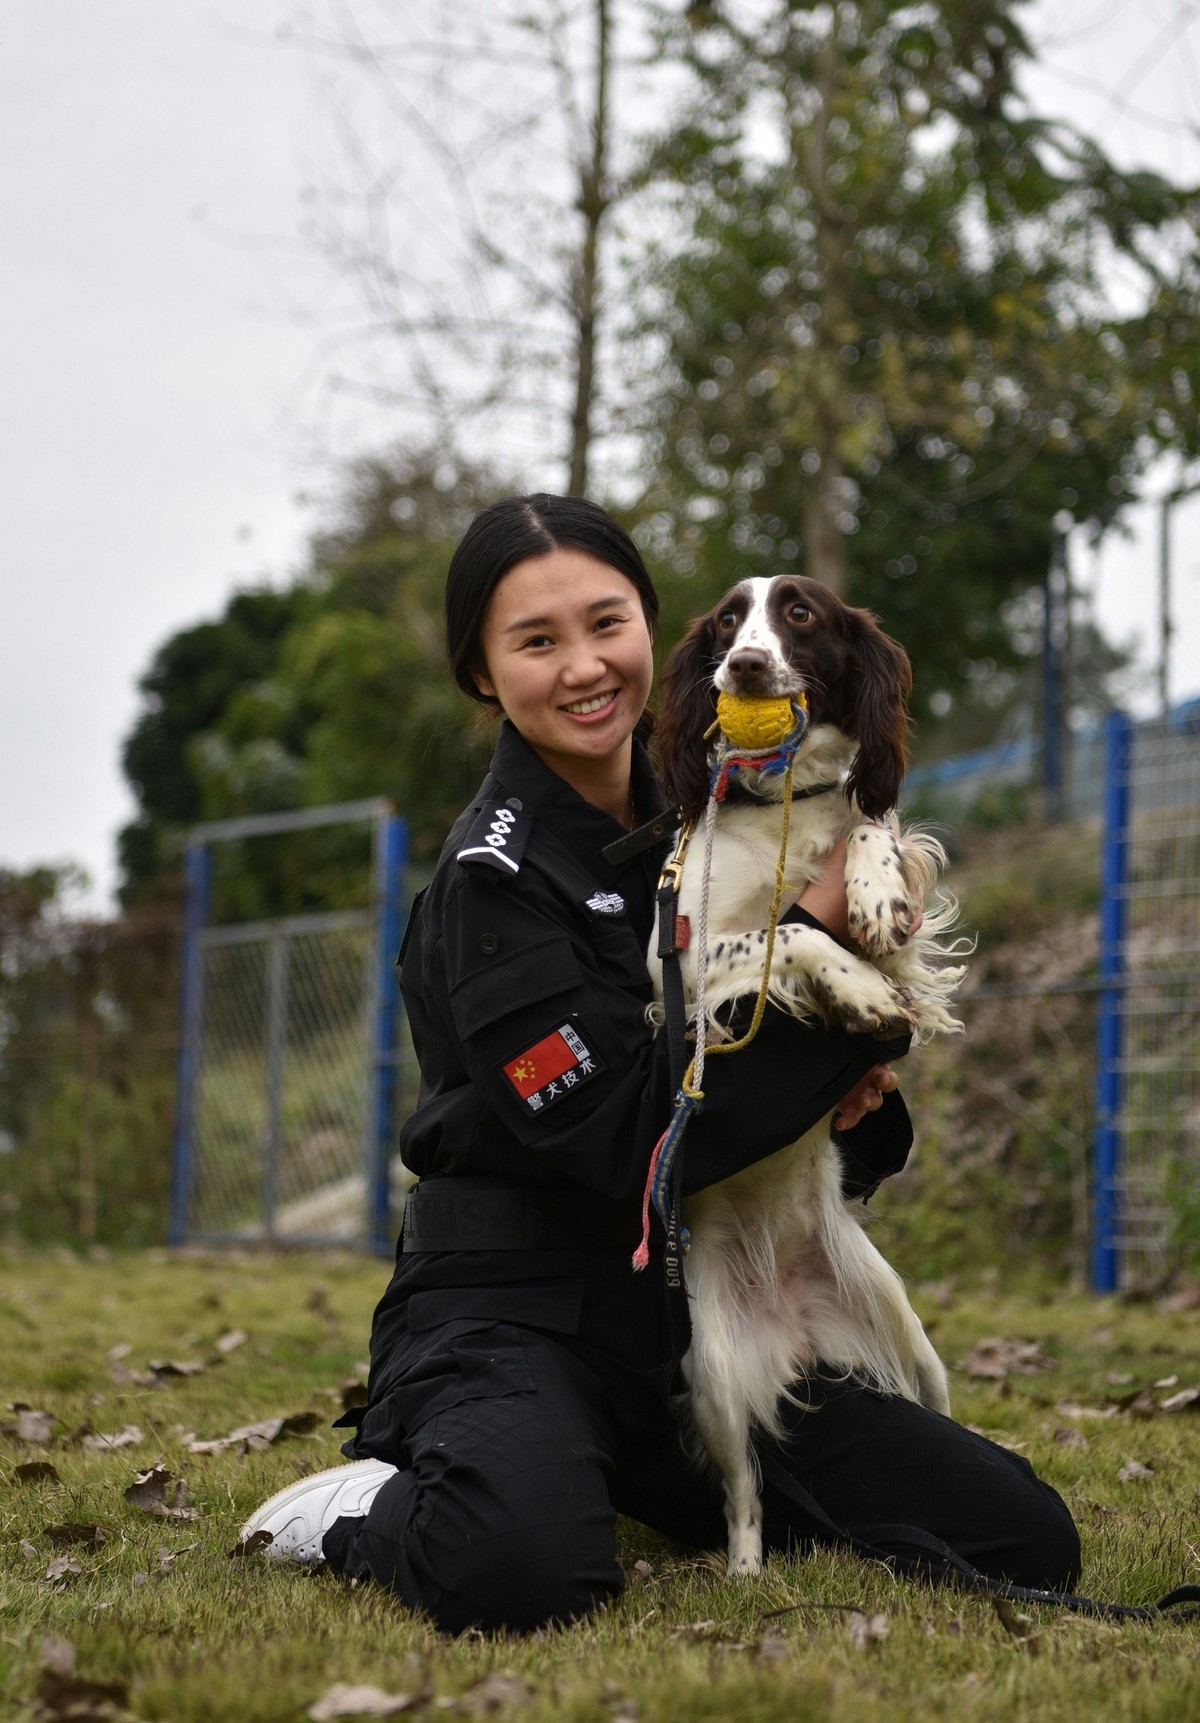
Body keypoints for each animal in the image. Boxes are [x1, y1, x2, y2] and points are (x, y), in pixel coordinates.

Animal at [648, 575, 965, 1578]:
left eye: (801, 615)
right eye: (725, 621)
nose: (745, 665)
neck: (781, 801)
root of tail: (795, 1332)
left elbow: (874, 834)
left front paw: (874, 895)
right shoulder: (686, 963)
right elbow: (789, 930)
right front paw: (859, 993)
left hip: (914, 1348)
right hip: (709, 1370)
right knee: (745, 1489)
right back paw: (745, 1574)